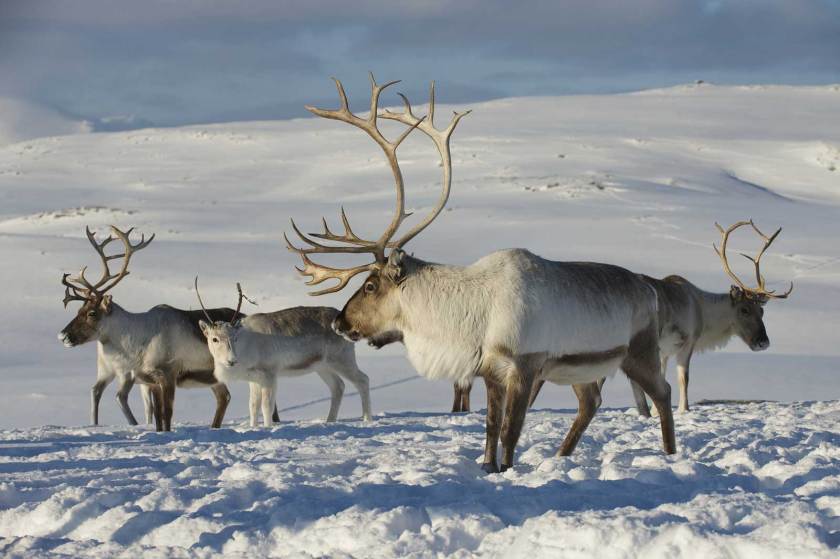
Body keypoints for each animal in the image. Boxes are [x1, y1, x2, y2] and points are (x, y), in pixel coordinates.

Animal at [197, 282, 370, 426]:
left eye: (234, 338)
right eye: (214, 339)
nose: (231, 360)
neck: (245, 346)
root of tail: (344, 323)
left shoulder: (269, 375)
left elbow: (267, 406)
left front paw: (268, 427)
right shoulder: (253, 379)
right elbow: (253, 406)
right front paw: (253, 427)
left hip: (342, 359)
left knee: (362, 380)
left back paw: (367, 420)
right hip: (322, 366)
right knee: (338, 386)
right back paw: (329, 421)